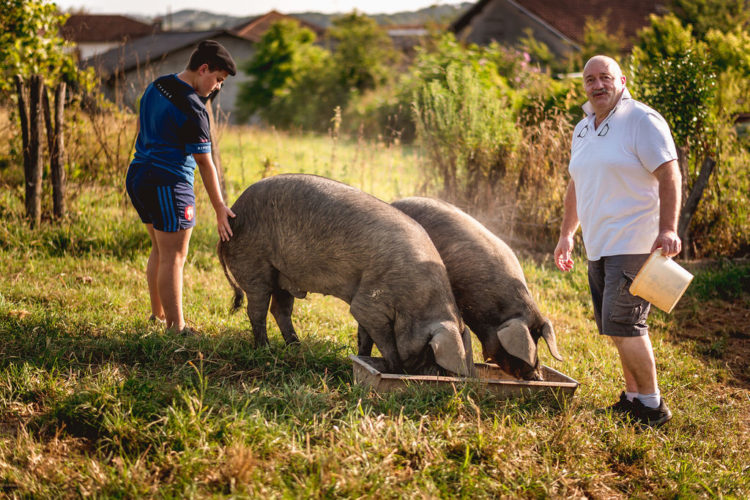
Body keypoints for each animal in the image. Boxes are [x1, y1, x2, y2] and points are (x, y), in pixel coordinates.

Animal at [219, 175, 476, 376]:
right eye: (430, 352)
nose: (433, 375)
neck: (418, 300)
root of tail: (230, 220)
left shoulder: (368, 303)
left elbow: (365, 336)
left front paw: (363, 357)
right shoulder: (371, 301)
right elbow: (383, 339)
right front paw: (395, 369)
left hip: (283, 276)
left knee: (280, 310)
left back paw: (296, 346)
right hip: (254, 264)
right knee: (257, 309)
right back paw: (266, 349)